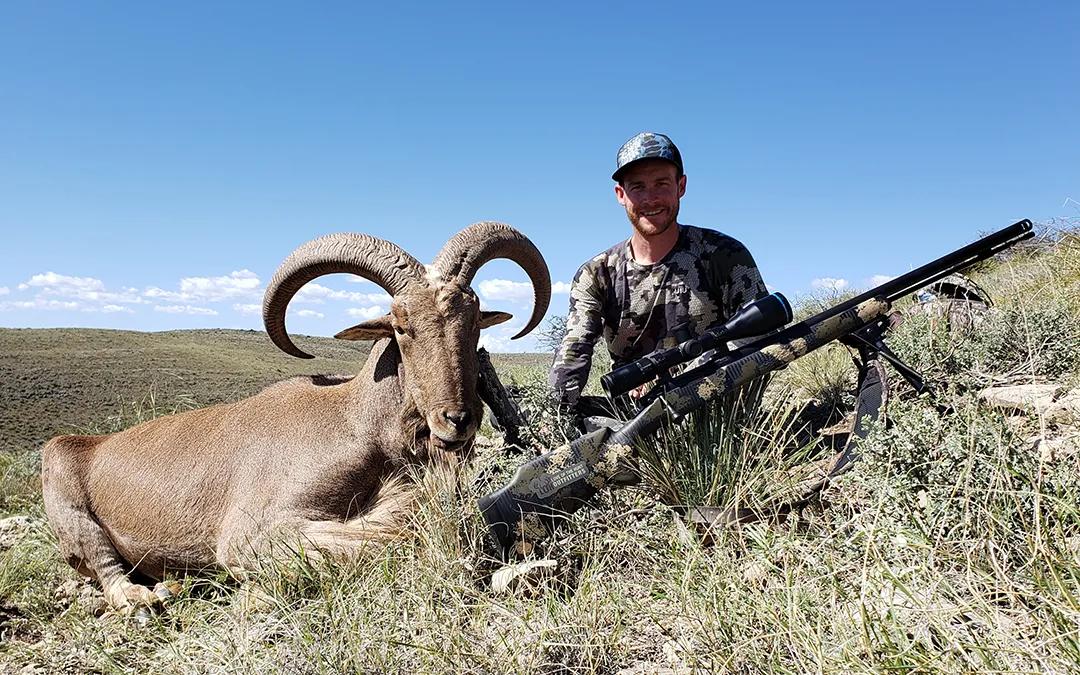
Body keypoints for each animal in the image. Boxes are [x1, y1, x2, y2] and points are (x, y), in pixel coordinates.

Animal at [39, 222, 550, 613]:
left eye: (475, 317)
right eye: (400, 325)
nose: (458, 419)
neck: (357, 423)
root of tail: (85, 446)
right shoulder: (249, 532)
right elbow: (380, 536)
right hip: (67, 491)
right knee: (109, 573)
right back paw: (151, 596)